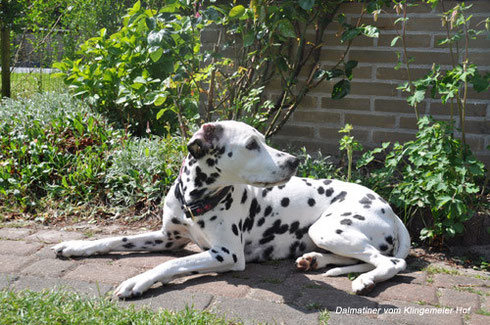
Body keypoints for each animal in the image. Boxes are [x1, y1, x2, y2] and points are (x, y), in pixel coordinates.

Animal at [51, 119, 410, 298]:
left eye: (262, 140)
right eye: (252, 144)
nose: (294, 161)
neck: (194, 201)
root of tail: (389, 208)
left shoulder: (226, 255)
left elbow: (169, 265)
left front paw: (137, 281)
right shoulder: (167, 238)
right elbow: (112, 239)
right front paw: (75, 245)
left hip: (329, 228)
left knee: (391, 262)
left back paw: (365, 281)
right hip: (325, 234)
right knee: (359, 258)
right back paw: (314, 260)